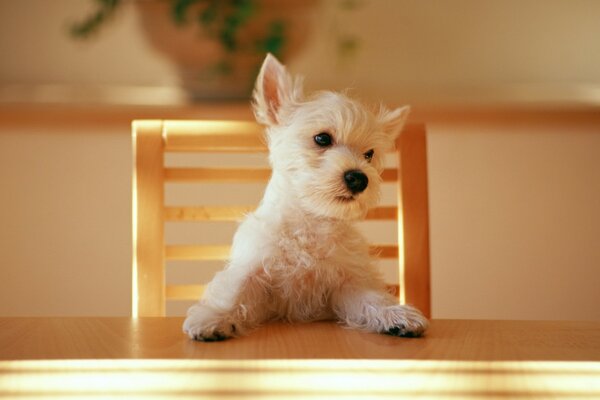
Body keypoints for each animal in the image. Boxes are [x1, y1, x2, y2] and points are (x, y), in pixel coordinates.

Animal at [183, 53, 426, 340]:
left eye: (369, 154)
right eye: (322, 138)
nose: (359, 178)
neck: (310, 222)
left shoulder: (347, 283)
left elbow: (371, 298)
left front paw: (395, 315)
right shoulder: (255, 270)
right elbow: (234, 291)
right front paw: (214, 317)